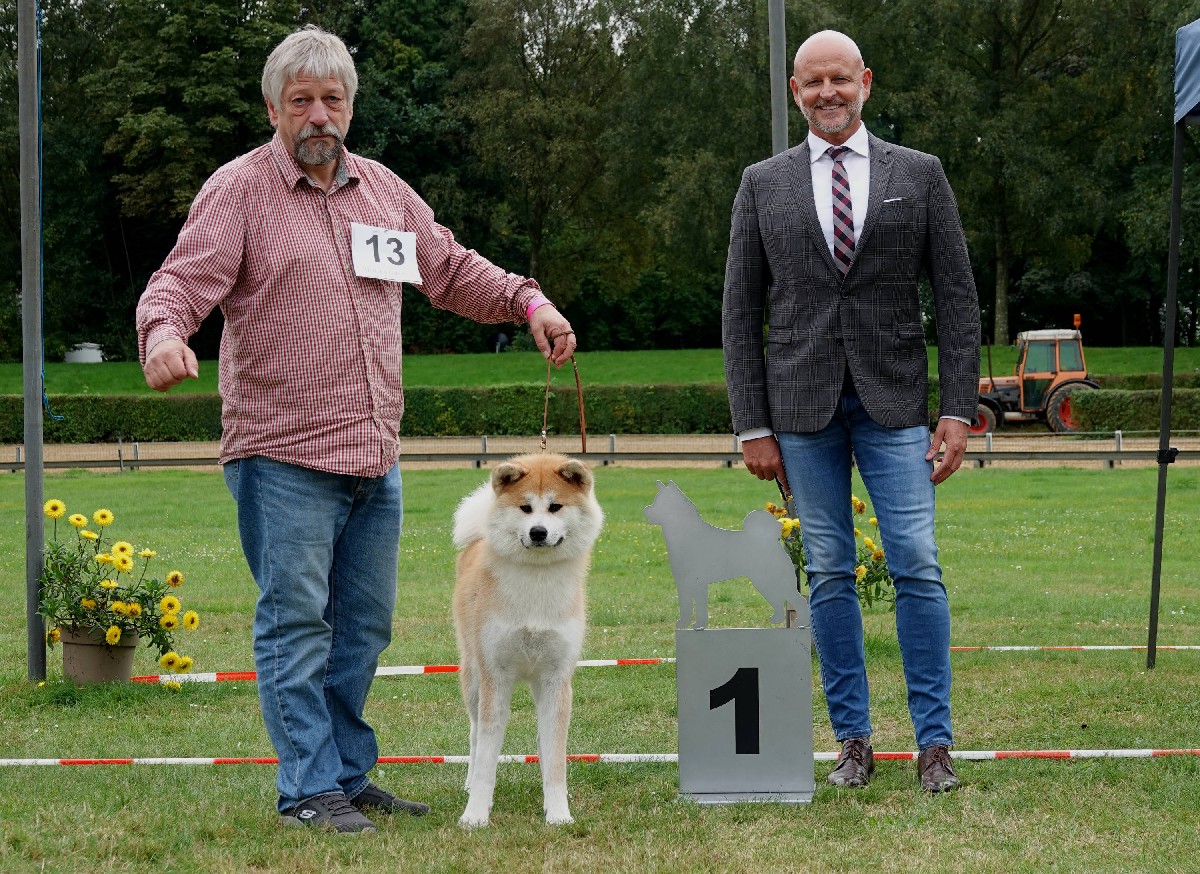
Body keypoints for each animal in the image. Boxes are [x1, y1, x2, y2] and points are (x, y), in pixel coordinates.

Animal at [452, 452, 604, 828]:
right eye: (525, 508)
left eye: (555, 507)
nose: (538, 532)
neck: (537, 581)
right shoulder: (495, 677)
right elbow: (486, 759)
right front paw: (475, 814)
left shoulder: (556, 679)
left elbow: (555, 756)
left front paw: (558, 812)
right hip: (474, 677)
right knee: (474, 733)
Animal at [644, 480, 797, 629]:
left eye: (659, 503)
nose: (645, 510)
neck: (687, 534)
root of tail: (770, 538)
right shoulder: (683, 583)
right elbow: (685, 607)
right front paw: (683, 624)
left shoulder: (698, 583)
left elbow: (699, 608)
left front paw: (699, 625)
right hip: (762, 582)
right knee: (778, 601)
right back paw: (776, 620)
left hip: (773, 580)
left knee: (796, 600)